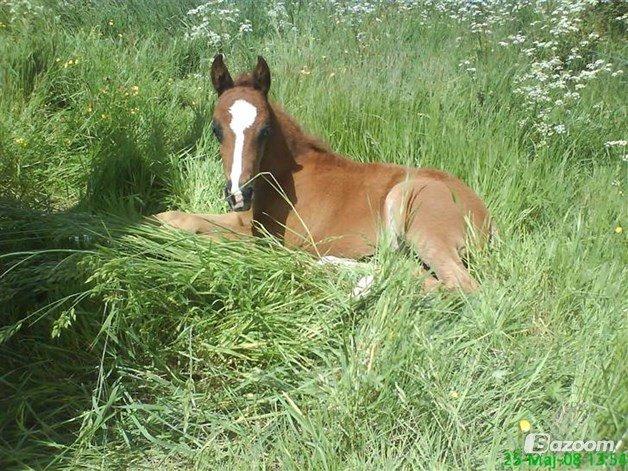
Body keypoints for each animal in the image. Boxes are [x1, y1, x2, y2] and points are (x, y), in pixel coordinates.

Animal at [155, 55, 494, 292]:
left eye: (265, 130)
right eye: (216, 129)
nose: (239, 194)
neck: (282, 179)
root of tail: (485, 218)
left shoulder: (266, 238)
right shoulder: (245, 221)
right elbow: (177, 217)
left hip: (413, 207)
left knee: (460, 286)